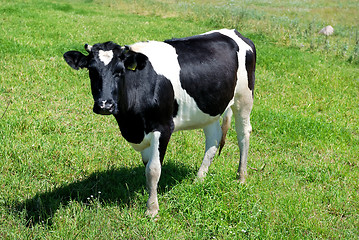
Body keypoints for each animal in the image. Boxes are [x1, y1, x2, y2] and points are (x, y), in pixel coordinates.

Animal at [64, 28, 256, 218]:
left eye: (120, 71)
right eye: (91, 71)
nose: (105, 105)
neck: (131, 124)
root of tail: (234, 32)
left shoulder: (162, 128)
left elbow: (153, 169)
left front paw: (152, 209)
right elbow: (146, 163)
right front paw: (148, 194)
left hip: (244, 98)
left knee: (243, 135)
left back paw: (241, 177)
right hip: (209, 109)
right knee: (214, 139)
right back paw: (199, 179)